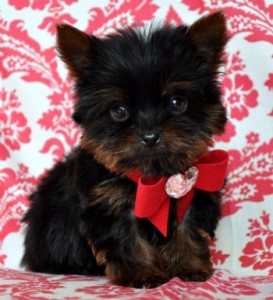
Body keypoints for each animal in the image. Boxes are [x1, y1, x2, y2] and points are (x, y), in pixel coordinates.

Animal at [22, 11, 228, 288]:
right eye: (119, 111)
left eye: (177, 103)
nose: (150, 136)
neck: (151, 178)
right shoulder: (109, 204)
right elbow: (126, 238)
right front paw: (143, 273)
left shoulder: (190, 197)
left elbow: (186, 227)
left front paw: (190, 266)